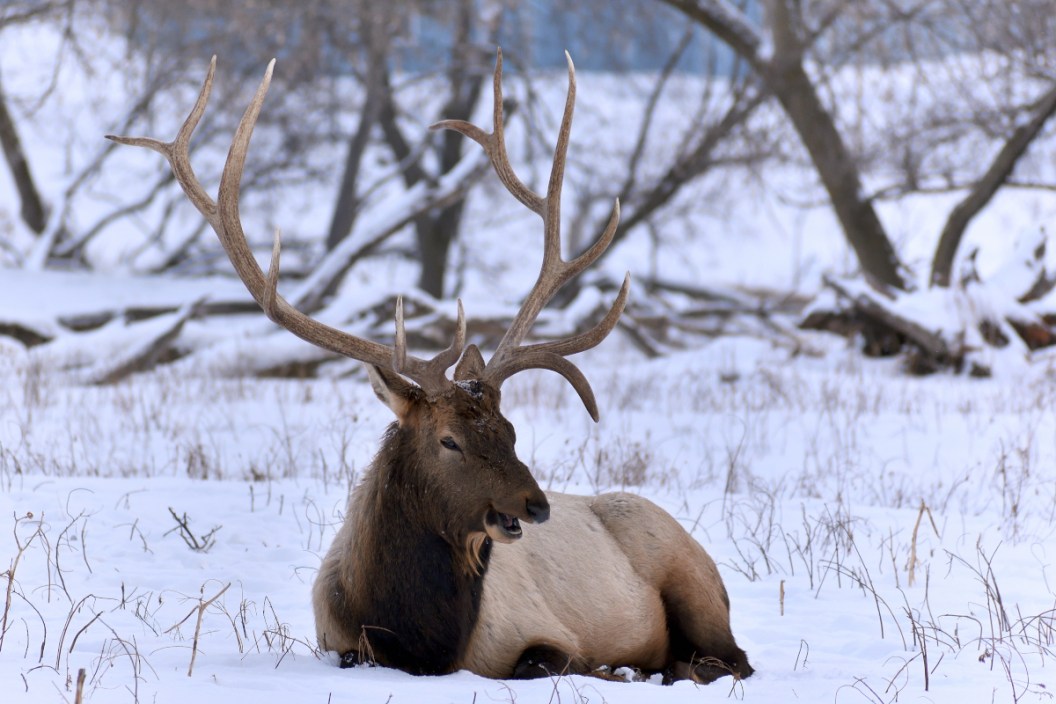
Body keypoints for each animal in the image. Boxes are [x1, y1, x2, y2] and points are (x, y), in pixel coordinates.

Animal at [108, 50, 753, 685]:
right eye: (449, 440)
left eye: (511, 431)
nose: (537, 505)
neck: (421, 637)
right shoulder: (340, 644)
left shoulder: (544, 633)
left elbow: (550, 661)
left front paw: (617, 672)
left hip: (691, 577)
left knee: (729, 659)